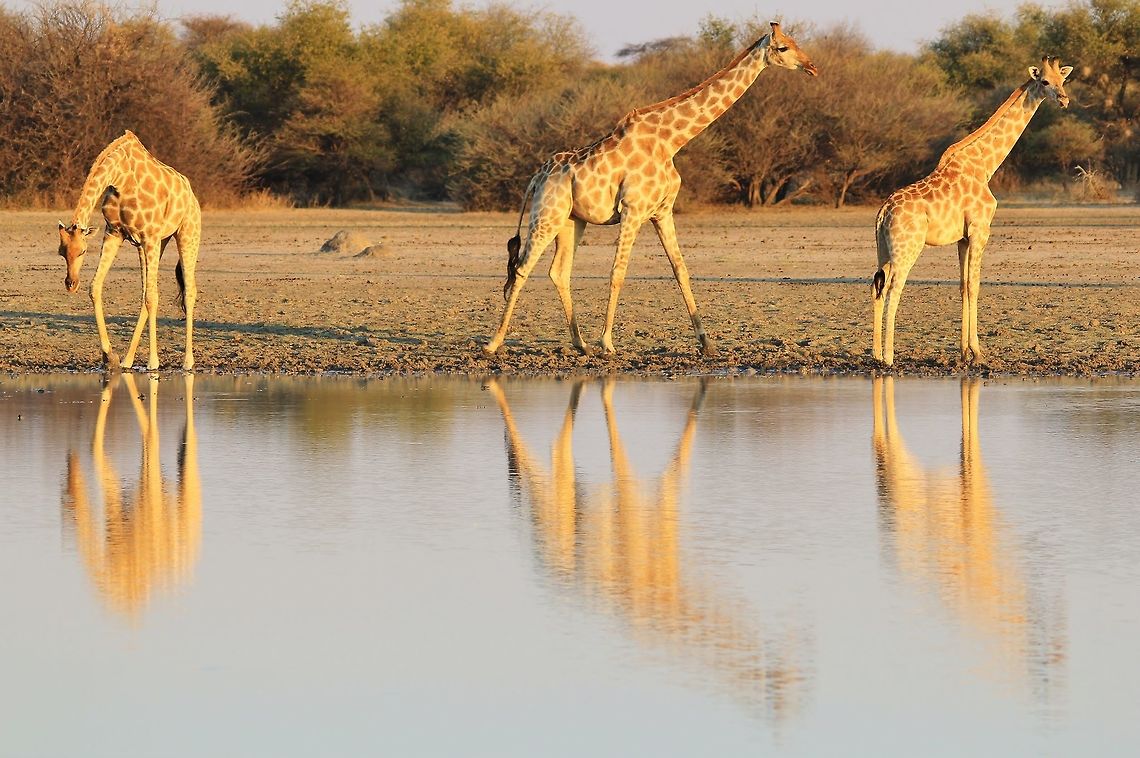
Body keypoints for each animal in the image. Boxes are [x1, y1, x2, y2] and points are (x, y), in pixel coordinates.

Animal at [58, 130, 201, 372]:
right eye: (61, 252)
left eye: (83, 251)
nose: (71, 283)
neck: (120, 177)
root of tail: (191, 195)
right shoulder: (114, 232)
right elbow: (96, 287)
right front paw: (110, 356)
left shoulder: (149, 236)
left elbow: (152, 297)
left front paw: (153, 362)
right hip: (155, 243)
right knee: (146, 293)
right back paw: (128, 359)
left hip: (187, 234)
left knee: (188, 291)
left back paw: (188, 361)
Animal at [484, 23, 818, 357]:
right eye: (783, 48)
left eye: (796, 42)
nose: (812, 66)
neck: (670, 141)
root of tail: (536, 177)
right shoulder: (633, 210)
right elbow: (617, 272)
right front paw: (607, 342)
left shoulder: (662, 211)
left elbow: (680, 269)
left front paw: (706, 343)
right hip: (546, 215)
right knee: (522, 267)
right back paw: (494, 342)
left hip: (570, 220)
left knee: (558, 271)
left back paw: (580, 344)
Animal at [871, 57, 1073, 367]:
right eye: (1044, 82)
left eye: (1063, 81)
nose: (1063, 100)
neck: (985, 165)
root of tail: (883, 213)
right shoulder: (981, 229)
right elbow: (976, 285)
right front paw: (978, 353)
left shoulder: (963, 237)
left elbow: (964, 285)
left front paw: (964, 353)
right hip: (907, 248)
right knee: (894, 289)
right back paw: (889, 357)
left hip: (882, 249)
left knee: (877, 287)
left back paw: (875, 353)